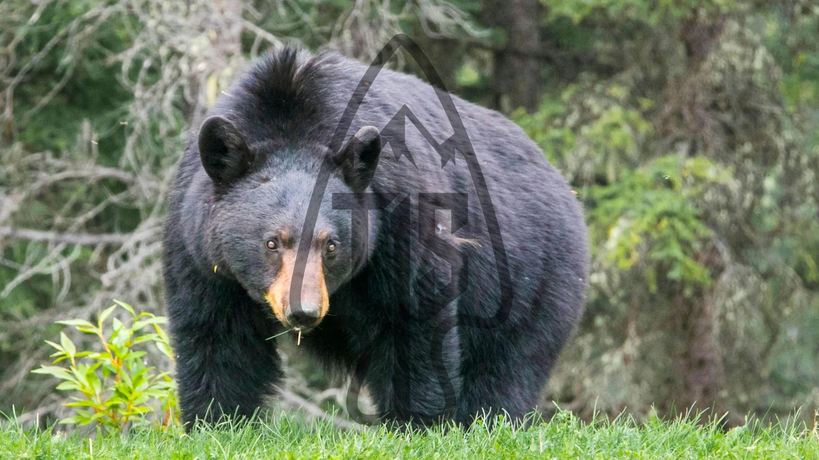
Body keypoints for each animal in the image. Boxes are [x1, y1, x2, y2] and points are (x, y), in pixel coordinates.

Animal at [162, 43, 589, 429]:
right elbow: (218, 334)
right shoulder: (198, 243)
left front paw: (416, 423)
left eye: (330, 245)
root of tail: (564, 187)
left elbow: (414, 321)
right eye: (272, 242)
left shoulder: (400, 215)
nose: (303, 310)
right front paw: (218, 420)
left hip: (531, 283)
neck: (291, 115)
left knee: (506, 368)